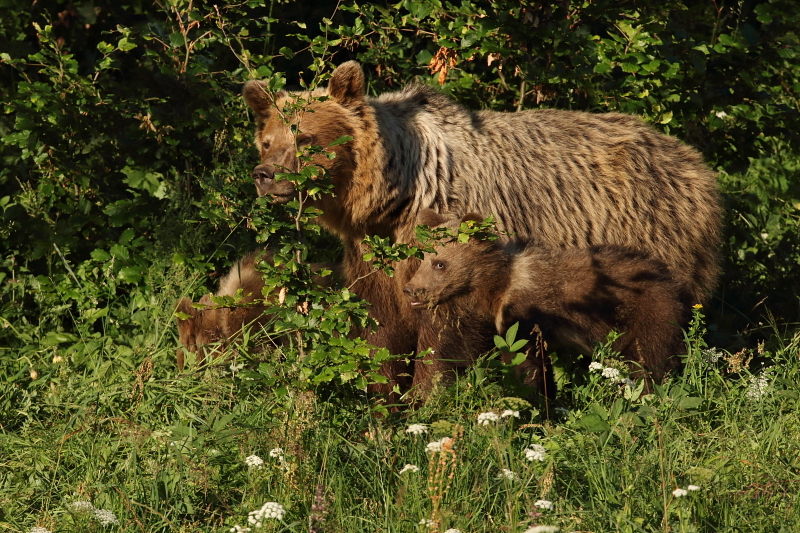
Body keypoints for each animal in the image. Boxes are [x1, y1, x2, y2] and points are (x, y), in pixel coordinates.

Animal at [404, 208, 684, 394]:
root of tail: (668, 277)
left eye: (440, 263)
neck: (497, 289)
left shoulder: (525, 316)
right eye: (423, 258)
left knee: (651, 357)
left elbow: (523, 362)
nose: (411, 290)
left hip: (647, 311)